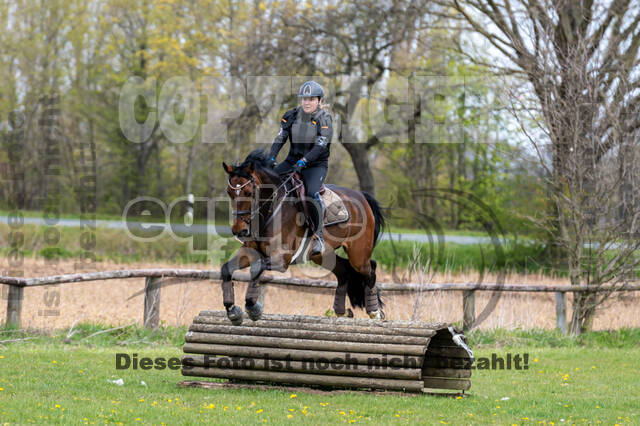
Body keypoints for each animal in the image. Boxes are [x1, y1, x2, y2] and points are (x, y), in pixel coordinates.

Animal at [218, 148, 384, 324]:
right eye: (229, 192)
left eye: (249, 193)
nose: (239, 230)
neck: (269, 209)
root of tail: (362, 196)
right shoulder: (250, 252)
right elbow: (226, 269)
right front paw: (232, 310)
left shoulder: (282, 259)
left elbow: (257, 268)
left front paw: (252, 307)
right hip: (323, 255)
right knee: (344, 271)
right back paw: (341, 311)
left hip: (358, 254)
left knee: (370, 269)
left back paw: (375, 311)